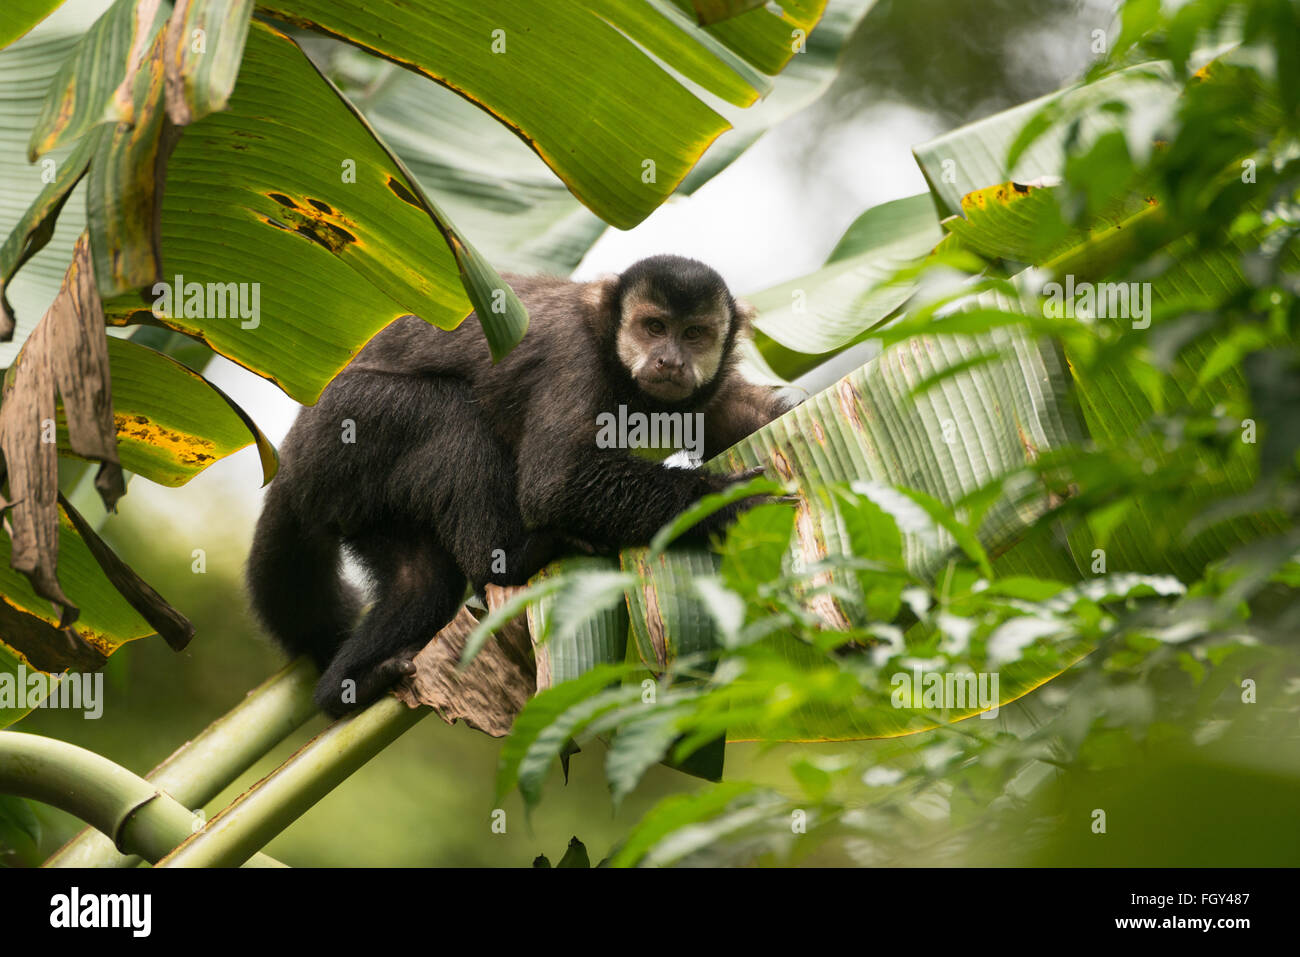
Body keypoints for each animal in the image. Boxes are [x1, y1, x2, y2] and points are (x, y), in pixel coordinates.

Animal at [244, 252, 790, 712]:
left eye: (695, 334)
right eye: (653, 327)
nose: (669, 360)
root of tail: (288, 457)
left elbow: (747, 419)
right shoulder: (577, 362)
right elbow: (554, 485)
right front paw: (725, 503)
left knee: (422, 583)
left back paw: (345, 688)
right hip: (343, 429)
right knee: (451, 418)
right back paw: (509, 560)